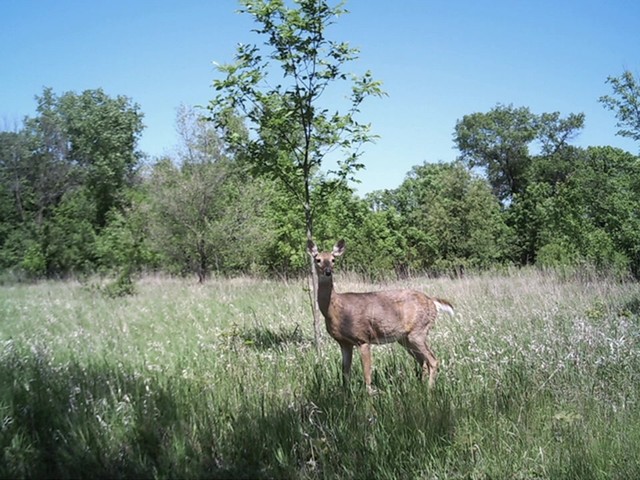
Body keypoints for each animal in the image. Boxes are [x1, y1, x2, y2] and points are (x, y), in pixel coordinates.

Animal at [306, 238, 452, 392]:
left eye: (333, 259)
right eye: (318, 259)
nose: (328, 271)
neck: (336, 311)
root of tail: (433, 301)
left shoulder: (362, 338)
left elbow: (367, 374)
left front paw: (369, 395)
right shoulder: (344, 343)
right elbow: (345, 373)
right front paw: (345, 394)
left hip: (418, 331)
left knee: (433, 360)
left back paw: (429, 390)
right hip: (405, 338)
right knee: (423, 361)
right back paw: (420, 387)